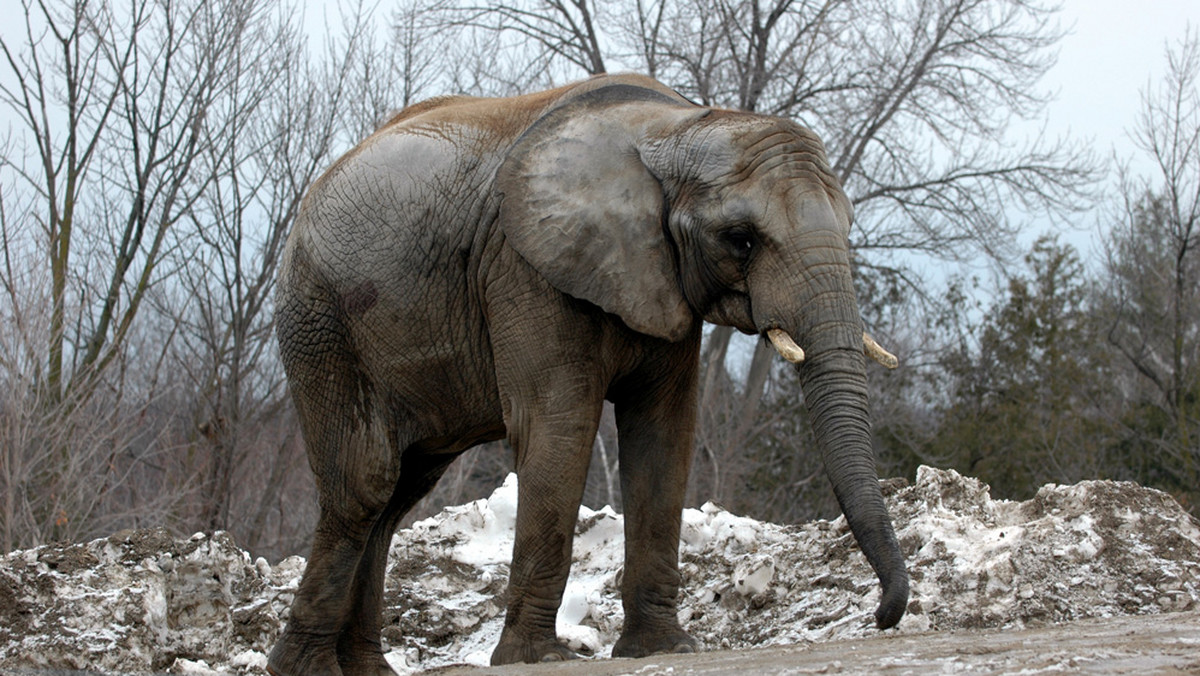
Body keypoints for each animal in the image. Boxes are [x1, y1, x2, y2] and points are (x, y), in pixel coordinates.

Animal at [270, 74, 907, 676]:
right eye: (741, 239)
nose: (883, 616)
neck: (673, 127)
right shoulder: (525, 267)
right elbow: (560, 428)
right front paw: (538, 658)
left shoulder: (660, 278)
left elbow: (663, 435)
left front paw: (665, 648)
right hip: (322, 322)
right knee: (366, 485)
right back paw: (305, 668)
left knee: (399, 494)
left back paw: (366, 669)